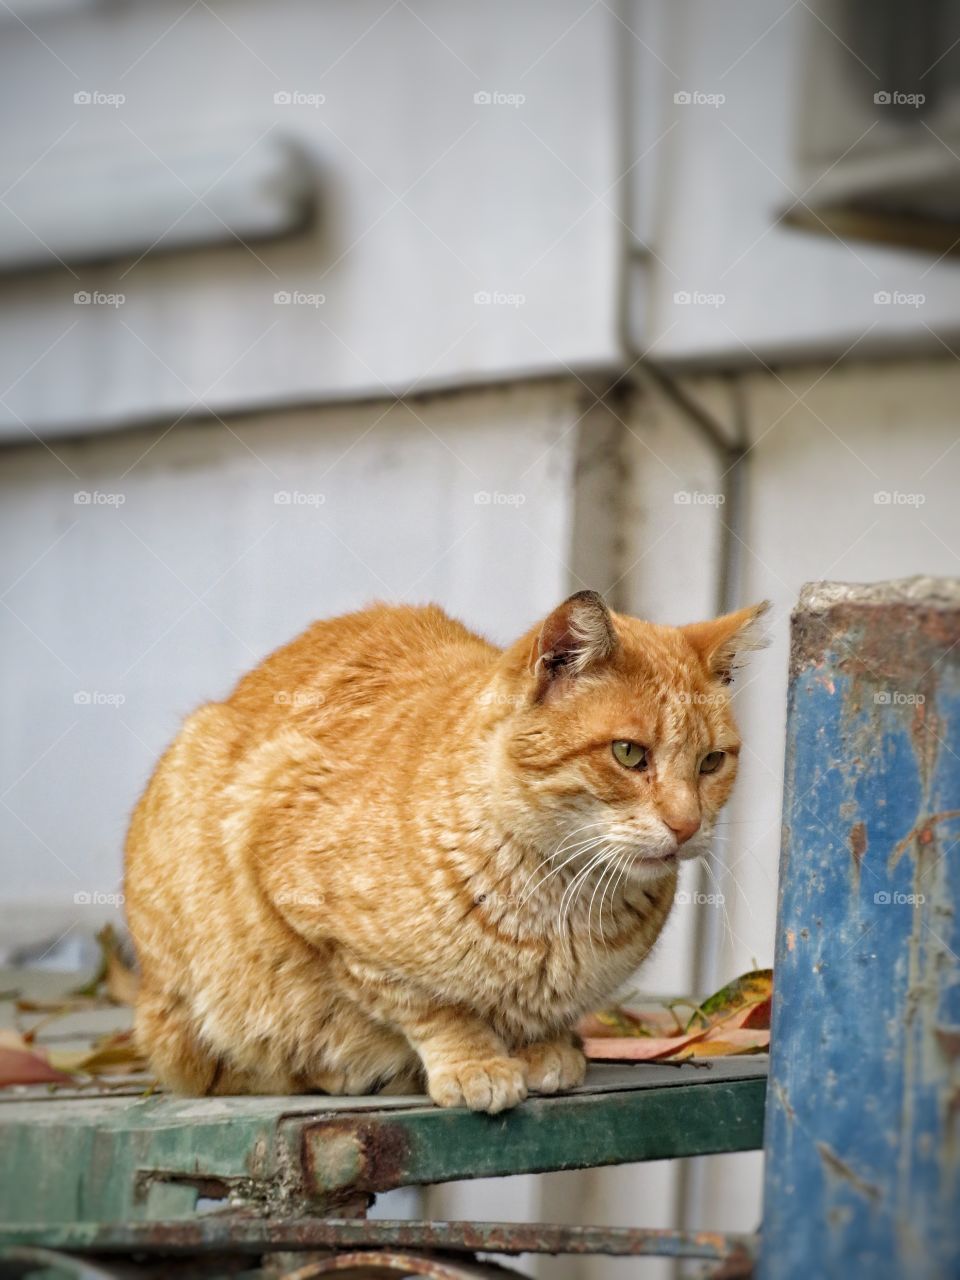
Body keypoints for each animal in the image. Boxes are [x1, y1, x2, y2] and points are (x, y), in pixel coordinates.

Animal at [126, 591, 768, 1111]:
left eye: (712, 762)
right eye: (630, 754)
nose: (687, 824)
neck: (561, 895)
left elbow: (540, 1016)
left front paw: (544, 1047)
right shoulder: (321, 917)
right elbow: (433, 1007)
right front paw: (475, 1063)